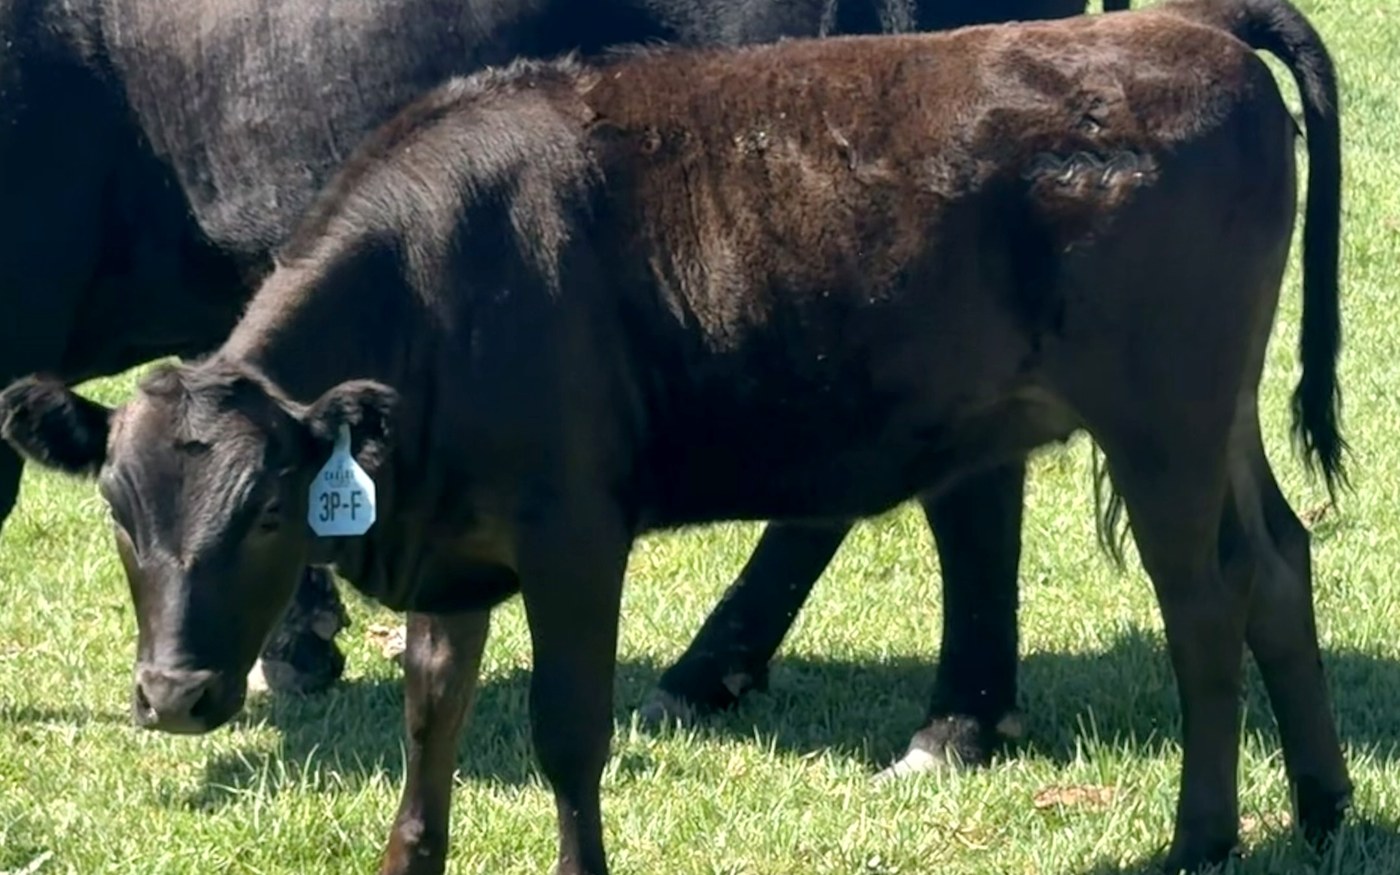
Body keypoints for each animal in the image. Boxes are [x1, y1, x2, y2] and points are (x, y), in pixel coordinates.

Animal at [1, 0, 1344, 872]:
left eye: (272, 508)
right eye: (118, 512)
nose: (172, 694)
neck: (447, 276)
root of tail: (1185, 29)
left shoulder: (573, 535)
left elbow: (565, 734)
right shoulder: (448, 547)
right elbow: (432, 719)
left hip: (1161, 423)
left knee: (1203, 598)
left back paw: (1200, 834)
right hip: (1218, 416)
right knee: (1278, 561)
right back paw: (1321, 805)